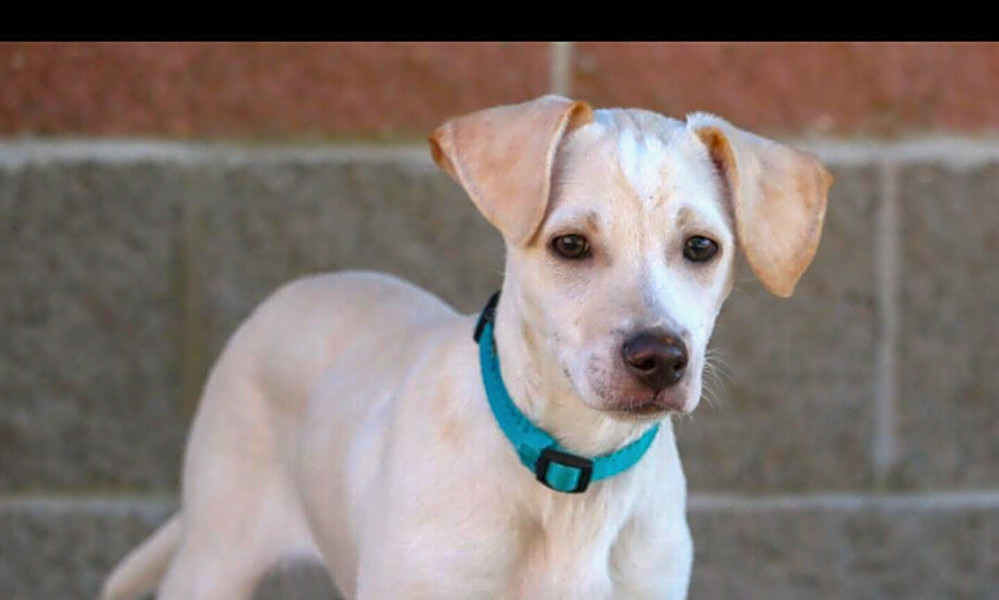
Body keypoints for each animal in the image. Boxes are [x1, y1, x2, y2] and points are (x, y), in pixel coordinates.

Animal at [105, 95, 832, 600]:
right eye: (571, 245)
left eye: (700, 247)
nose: (660, 358)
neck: (572, 476)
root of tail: (308, 286)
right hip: (213, 559)